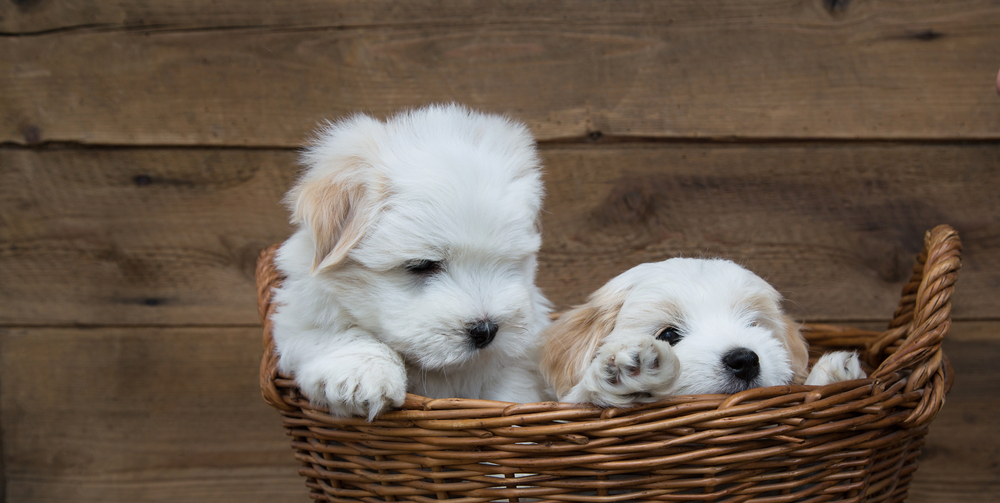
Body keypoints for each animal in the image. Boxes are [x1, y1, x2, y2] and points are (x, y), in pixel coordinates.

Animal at [270, 104, 552, 420]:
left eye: (509, 261)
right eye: (422, 265)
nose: (486, 331)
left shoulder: (517, 364)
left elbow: (510, 391)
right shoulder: (299, 319)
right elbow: (339, 332)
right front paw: (363, 373)